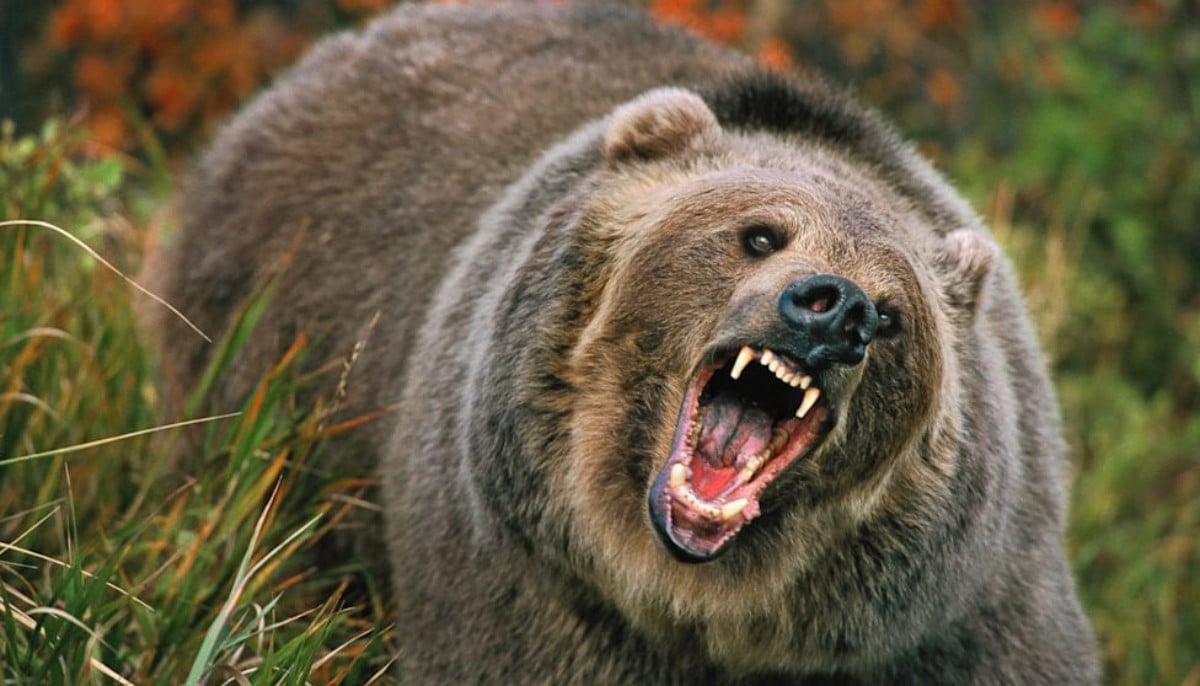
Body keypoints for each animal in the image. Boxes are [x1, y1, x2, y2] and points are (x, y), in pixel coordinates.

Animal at [145, 2, 1100, 683]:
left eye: (897, 315)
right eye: (760, 233)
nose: (837, 310)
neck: (700, 605)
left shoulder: (956, 617)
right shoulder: (525, 580)